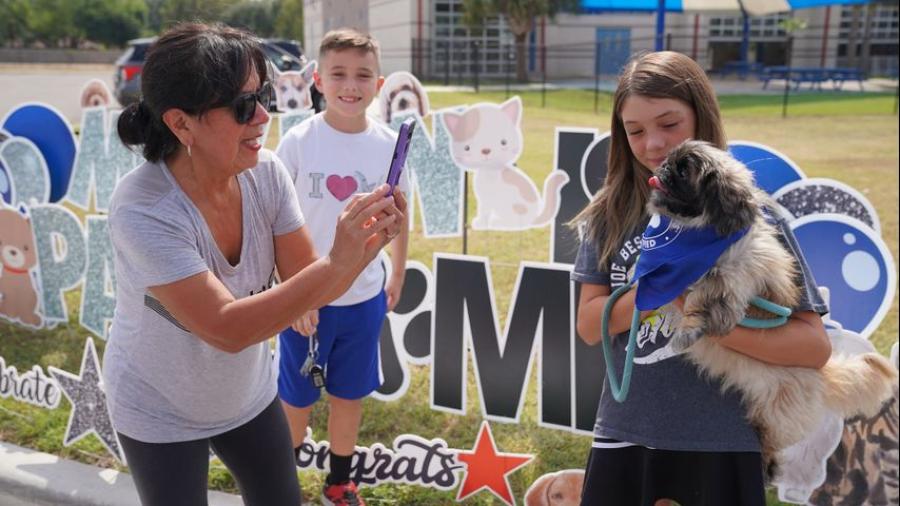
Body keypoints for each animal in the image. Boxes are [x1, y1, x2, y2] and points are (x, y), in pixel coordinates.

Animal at [648, 141, 892, 478]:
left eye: (684, 171)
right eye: (670, 161)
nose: (662, 168)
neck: (700, 235)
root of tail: (820, 377)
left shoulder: (735, 272)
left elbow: (705, 295)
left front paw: (690, 327)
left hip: (776, 413)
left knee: (772, 440)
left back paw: (768, 466)